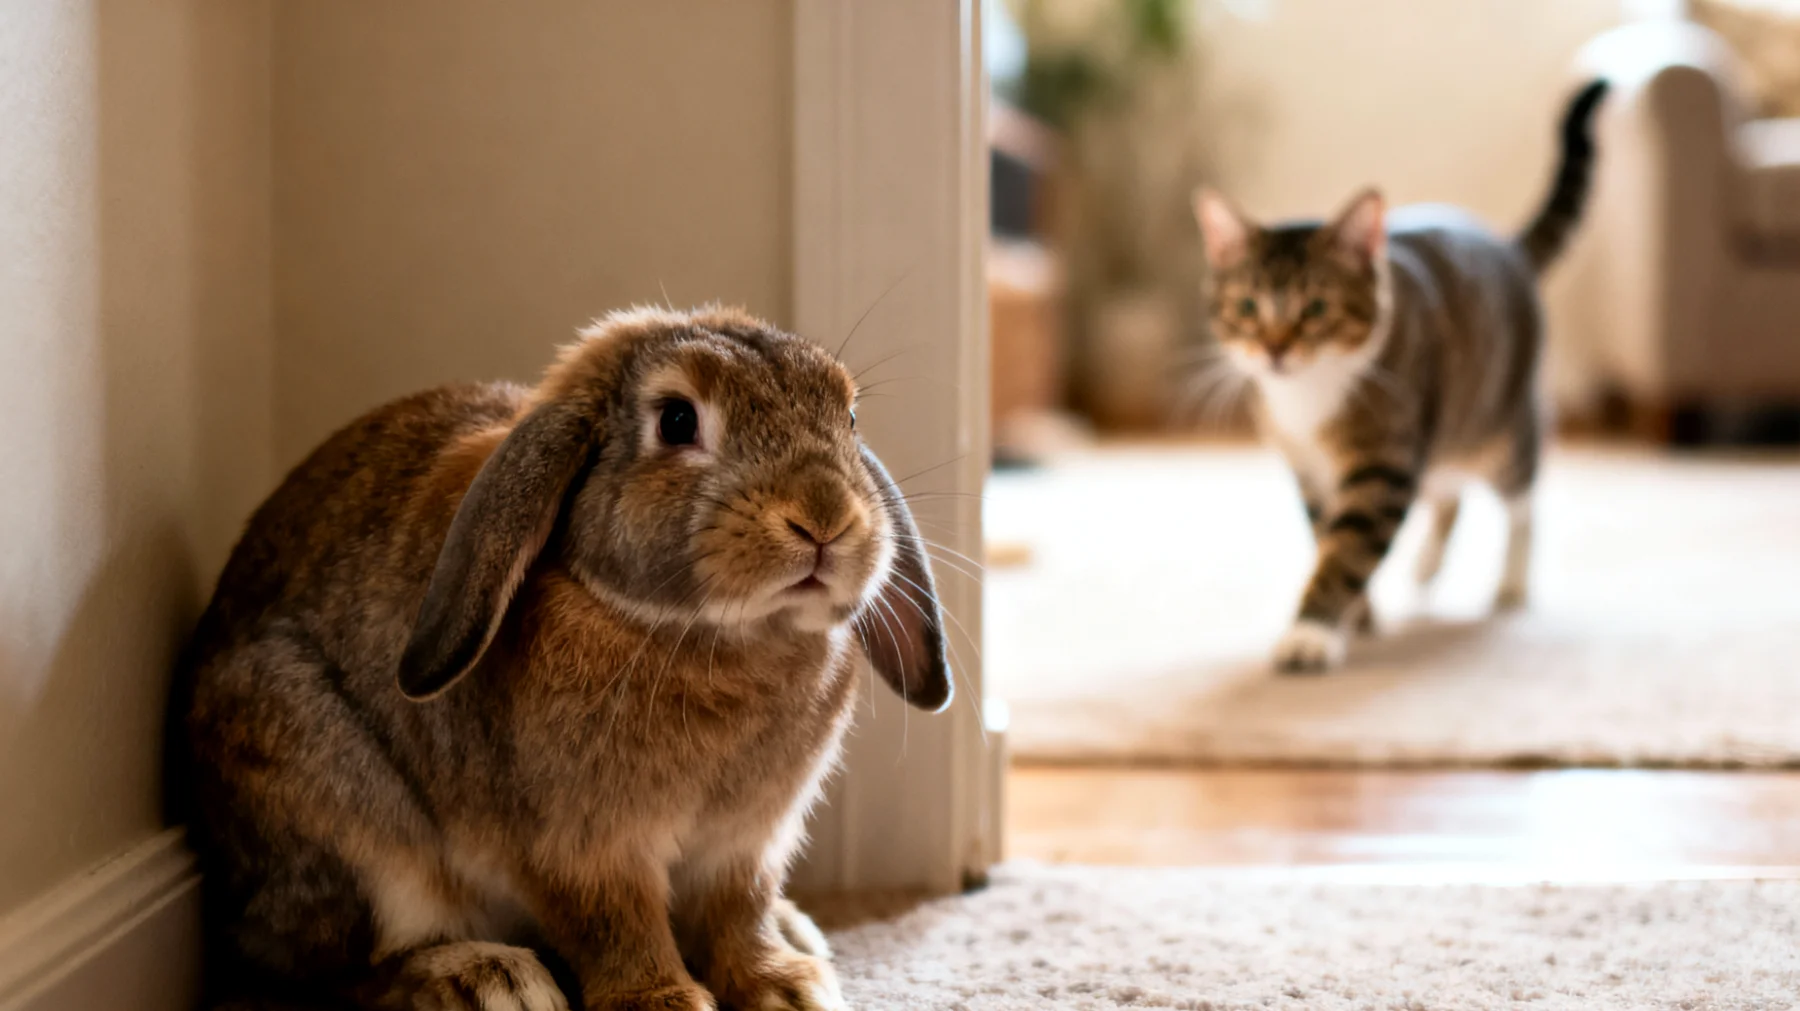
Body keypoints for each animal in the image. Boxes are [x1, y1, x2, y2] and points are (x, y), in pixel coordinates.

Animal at [171, 306, 952, 1011]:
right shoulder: (580, 847)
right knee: (343, 965)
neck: (718, 638)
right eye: (676, 420)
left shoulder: (747, 844)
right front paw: (664, 1001)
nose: (824, 518)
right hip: (341, 815)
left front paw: (786, 987)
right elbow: (616, 926)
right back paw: (488, 980)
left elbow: (741, 914)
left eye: (849, 418)